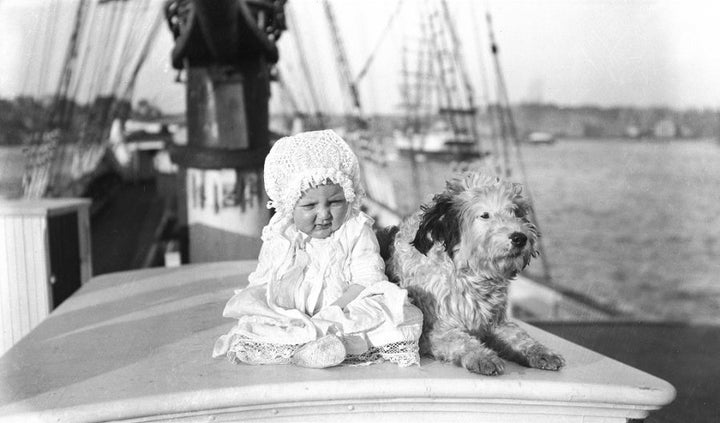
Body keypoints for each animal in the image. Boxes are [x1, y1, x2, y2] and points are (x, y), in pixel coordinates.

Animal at [380, 172, 564, 378]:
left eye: (515, 212)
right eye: (484, 215)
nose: (520, 238)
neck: (469, 275)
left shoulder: (495, 323)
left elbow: (519, 336)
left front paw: (541, 352)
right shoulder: (434, 332)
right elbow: (462, 341)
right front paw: (483, 357)